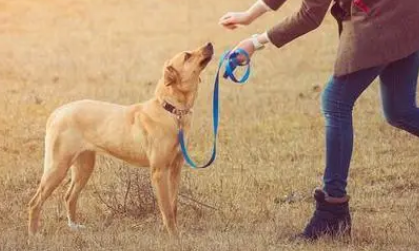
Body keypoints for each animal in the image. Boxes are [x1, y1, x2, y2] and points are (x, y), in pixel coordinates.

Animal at [27, 41, 215, 237]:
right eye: (187, 56)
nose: (210, 44)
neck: (171, 110)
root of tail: (58, 112)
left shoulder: (175, 169)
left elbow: (174, 205)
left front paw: (176, 232)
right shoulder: (159, 172)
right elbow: (167, 209)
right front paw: (174, 236)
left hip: (84, 165)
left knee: (69, 196)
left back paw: (74, 226)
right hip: (58, 166)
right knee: (34, 202)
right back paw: (33, 234)